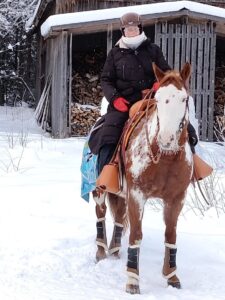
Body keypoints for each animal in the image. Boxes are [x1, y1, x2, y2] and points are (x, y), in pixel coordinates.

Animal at [92, 62, 192, 294]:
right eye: (158, 98)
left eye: (184, 99)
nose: (166, 139)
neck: (165, 158)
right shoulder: (137, 195)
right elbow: (136, 234)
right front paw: (132, 281)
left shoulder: (176, 198)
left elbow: (170, 235)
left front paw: (172, 277)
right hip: (102, 188)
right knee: (101, 212)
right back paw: (101, 252)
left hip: (122, 194)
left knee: (119, 216)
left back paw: (115, 250)